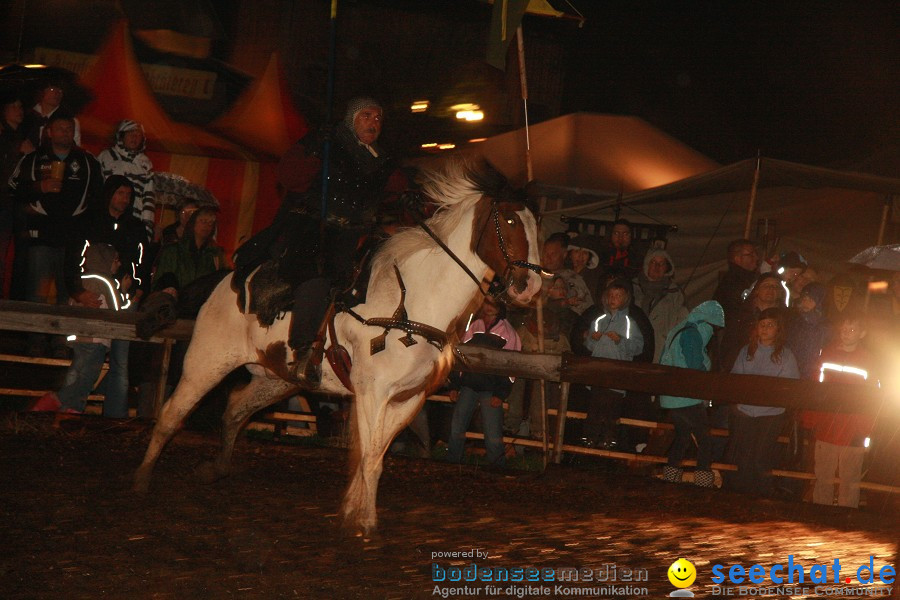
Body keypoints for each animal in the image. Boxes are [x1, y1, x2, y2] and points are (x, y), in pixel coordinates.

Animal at [132, 159, 540, 536]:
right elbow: (371, 456)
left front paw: (351, 512)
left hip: (277, 379)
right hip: (206, 364)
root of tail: (222, 281)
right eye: (509, 220)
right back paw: (141, 480)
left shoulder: (408, 399)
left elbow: (373, 453)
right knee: (171, 415)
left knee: (234, 409)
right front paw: (365, 523)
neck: (411, 304)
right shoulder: (373, 392)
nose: (530, 287)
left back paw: (215, 469)